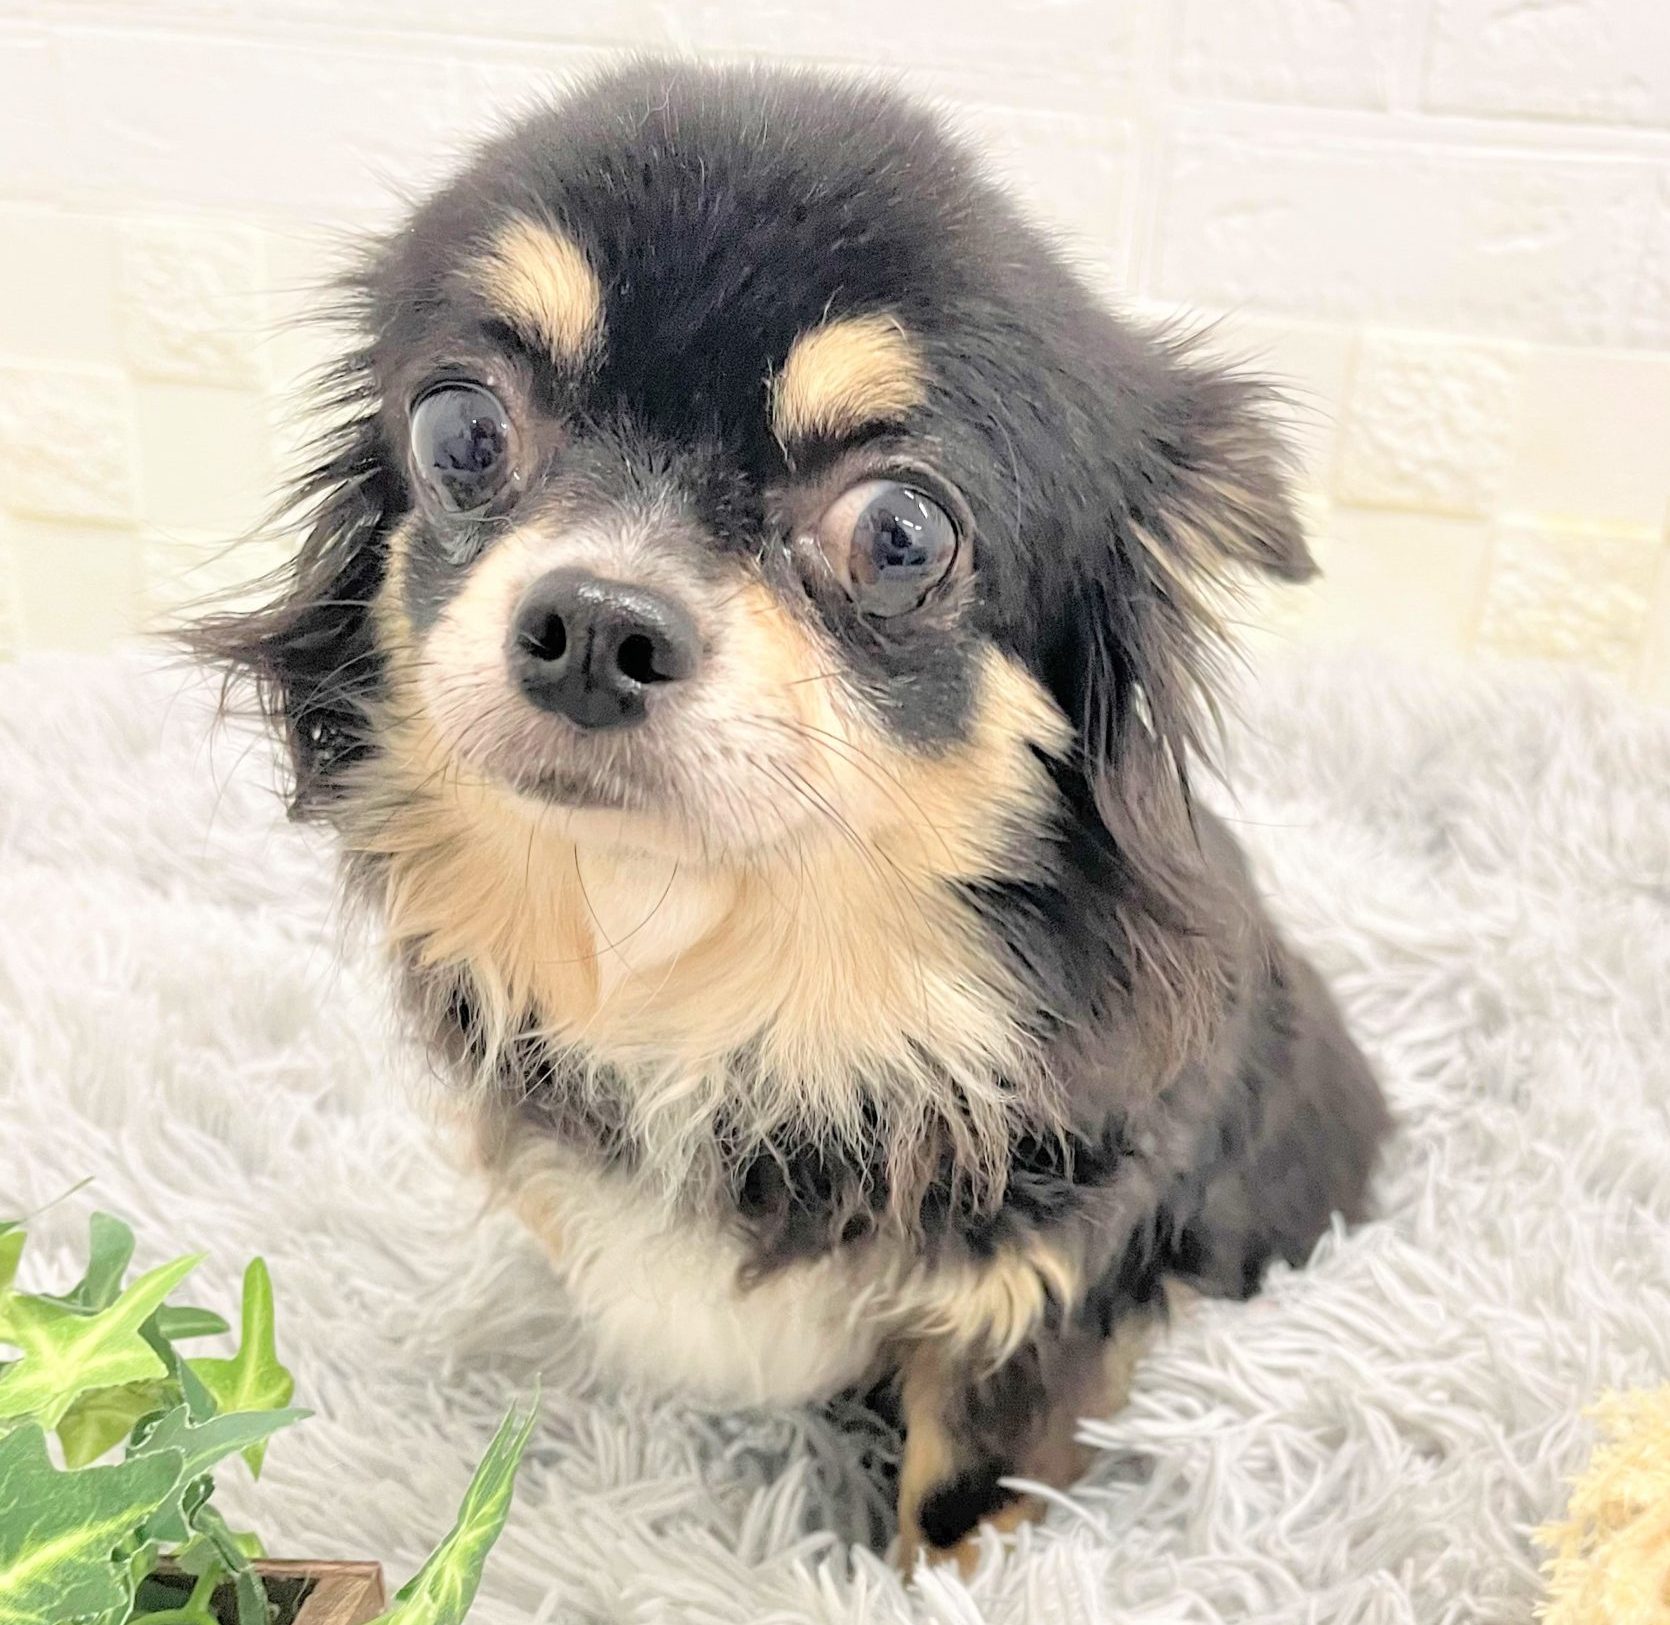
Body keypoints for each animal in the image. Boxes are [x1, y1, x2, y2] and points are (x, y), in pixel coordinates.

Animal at [193, 60, 1388, 1571]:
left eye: (899, 535)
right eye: (459, 431)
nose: (596, 623)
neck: (720, 972)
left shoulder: (1036, 1303)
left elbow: (957, 1506)